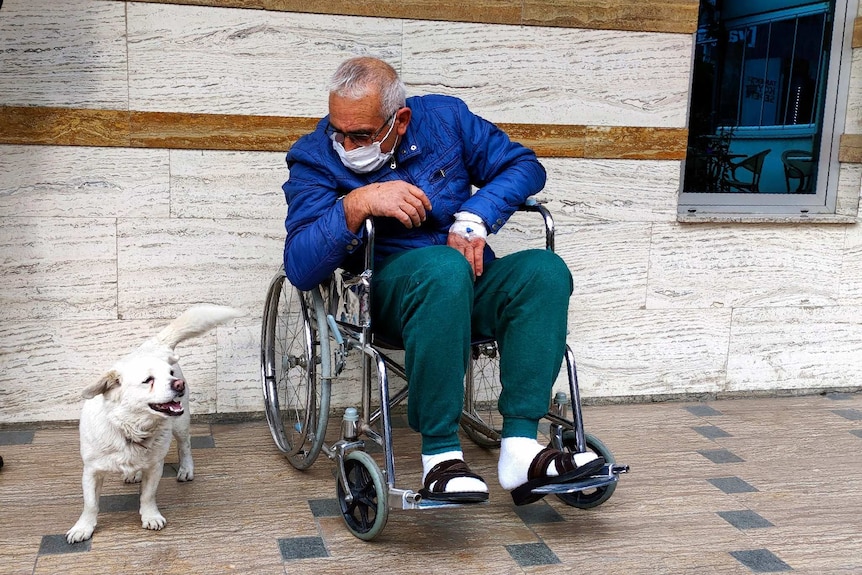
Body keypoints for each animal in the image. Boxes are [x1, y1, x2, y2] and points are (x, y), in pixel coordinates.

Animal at [66, 306, 243, 544]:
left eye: (170, 374)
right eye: (148, 380)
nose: (179, 384)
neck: (130, 428)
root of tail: (153, 344)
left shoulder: (155, 466)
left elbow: (148, 496)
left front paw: (150, 516)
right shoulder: (91, 471)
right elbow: (91, 504)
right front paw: (83, 527)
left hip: (180, 424)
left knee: (185, 446)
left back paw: (186, 469)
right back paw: (133, 474)